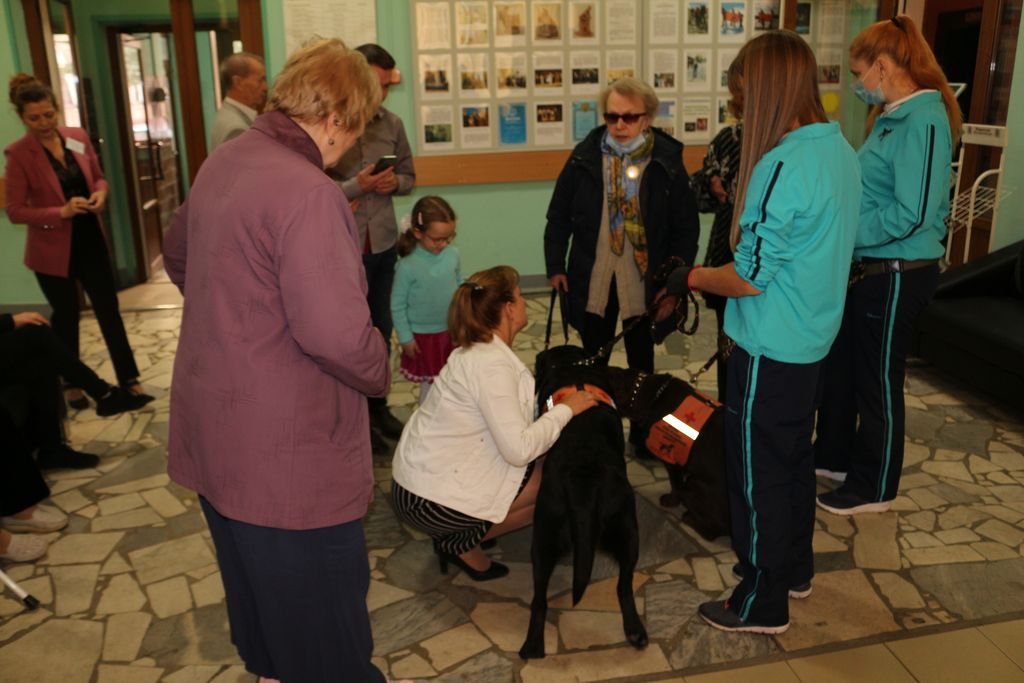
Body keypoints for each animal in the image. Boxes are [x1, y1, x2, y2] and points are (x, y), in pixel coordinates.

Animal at [520, 350, 647, 659]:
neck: (573, 368)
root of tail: (584, 475)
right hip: (627, 528)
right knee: (623, 586)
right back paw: (634, 630)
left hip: (545, 534)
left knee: (540, 598)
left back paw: (533, 645)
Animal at [606, 366, 729, 540]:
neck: (653, 396)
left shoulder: (672, 460)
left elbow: (675, 485)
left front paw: (670, 501)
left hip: (694, 482)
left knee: (711, 533)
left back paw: (690, 519)